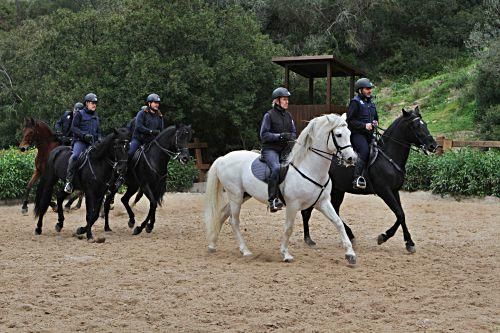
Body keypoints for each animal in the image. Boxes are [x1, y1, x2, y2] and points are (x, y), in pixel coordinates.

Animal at [204, 113, 360, 264]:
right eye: (338, 135)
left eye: (349, 133)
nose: (352, 158)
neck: (309, 168)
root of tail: (223, 158)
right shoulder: (293, 205)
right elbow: (288, 228)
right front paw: (285, 254)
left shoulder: (322, 202)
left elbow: (338, 222)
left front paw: (350, 254)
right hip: (235, 195)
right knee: (234, 221)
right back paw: (245, 250)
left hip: (243, 195)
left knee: (223, 214)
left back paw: (212, 245)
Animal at [300, 106, 438, 252]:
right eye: (415, 126)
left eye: (425, 124)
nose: (433, 146)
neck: (388, 156)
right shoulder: (384, 191)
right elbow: (399, 213)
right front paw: (384, 237)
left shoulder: (394, 191)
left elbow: (401, 214)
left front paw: (408, 242)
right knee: (307, 211)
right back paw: (309, 239)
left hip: (338, 189)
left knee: (334, 209)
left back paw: (348, 235)